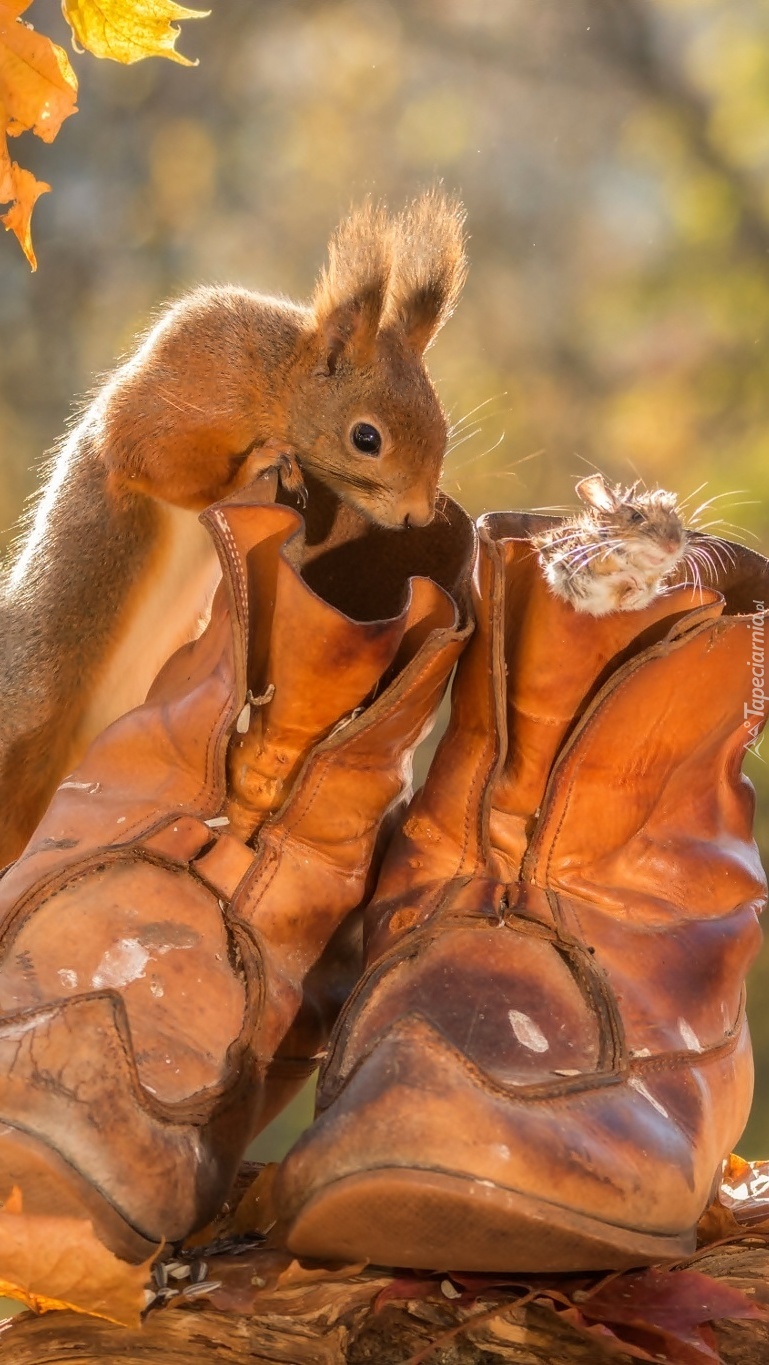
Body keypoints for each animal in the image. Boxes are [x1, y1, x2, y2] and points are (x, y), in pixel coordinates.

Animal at [0, 189, 467, 862]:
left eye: (441, 425)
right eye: (366, 438)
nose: (418, 515)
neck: (273, 381)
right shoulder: (186, 392)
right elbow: (152, 459)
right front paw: (264, 461)